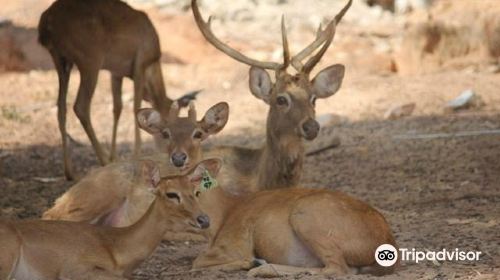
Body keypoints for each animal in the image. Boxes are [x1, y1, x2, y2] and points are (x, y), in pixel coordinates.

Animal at [38, 0, 198, 179]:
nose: (178, 155)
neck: (153, 62)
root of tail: (46, 22)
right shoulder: (139, 65)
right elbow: (136, 108)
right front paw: (135, 154)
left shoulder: (116, 73)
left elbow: (117, 108)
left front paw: (114, 156)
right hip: (90, 61)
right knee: (80, 106)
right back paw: (102, 161)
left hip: (61, 61)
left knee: (61, 108)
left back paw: (70, 172)